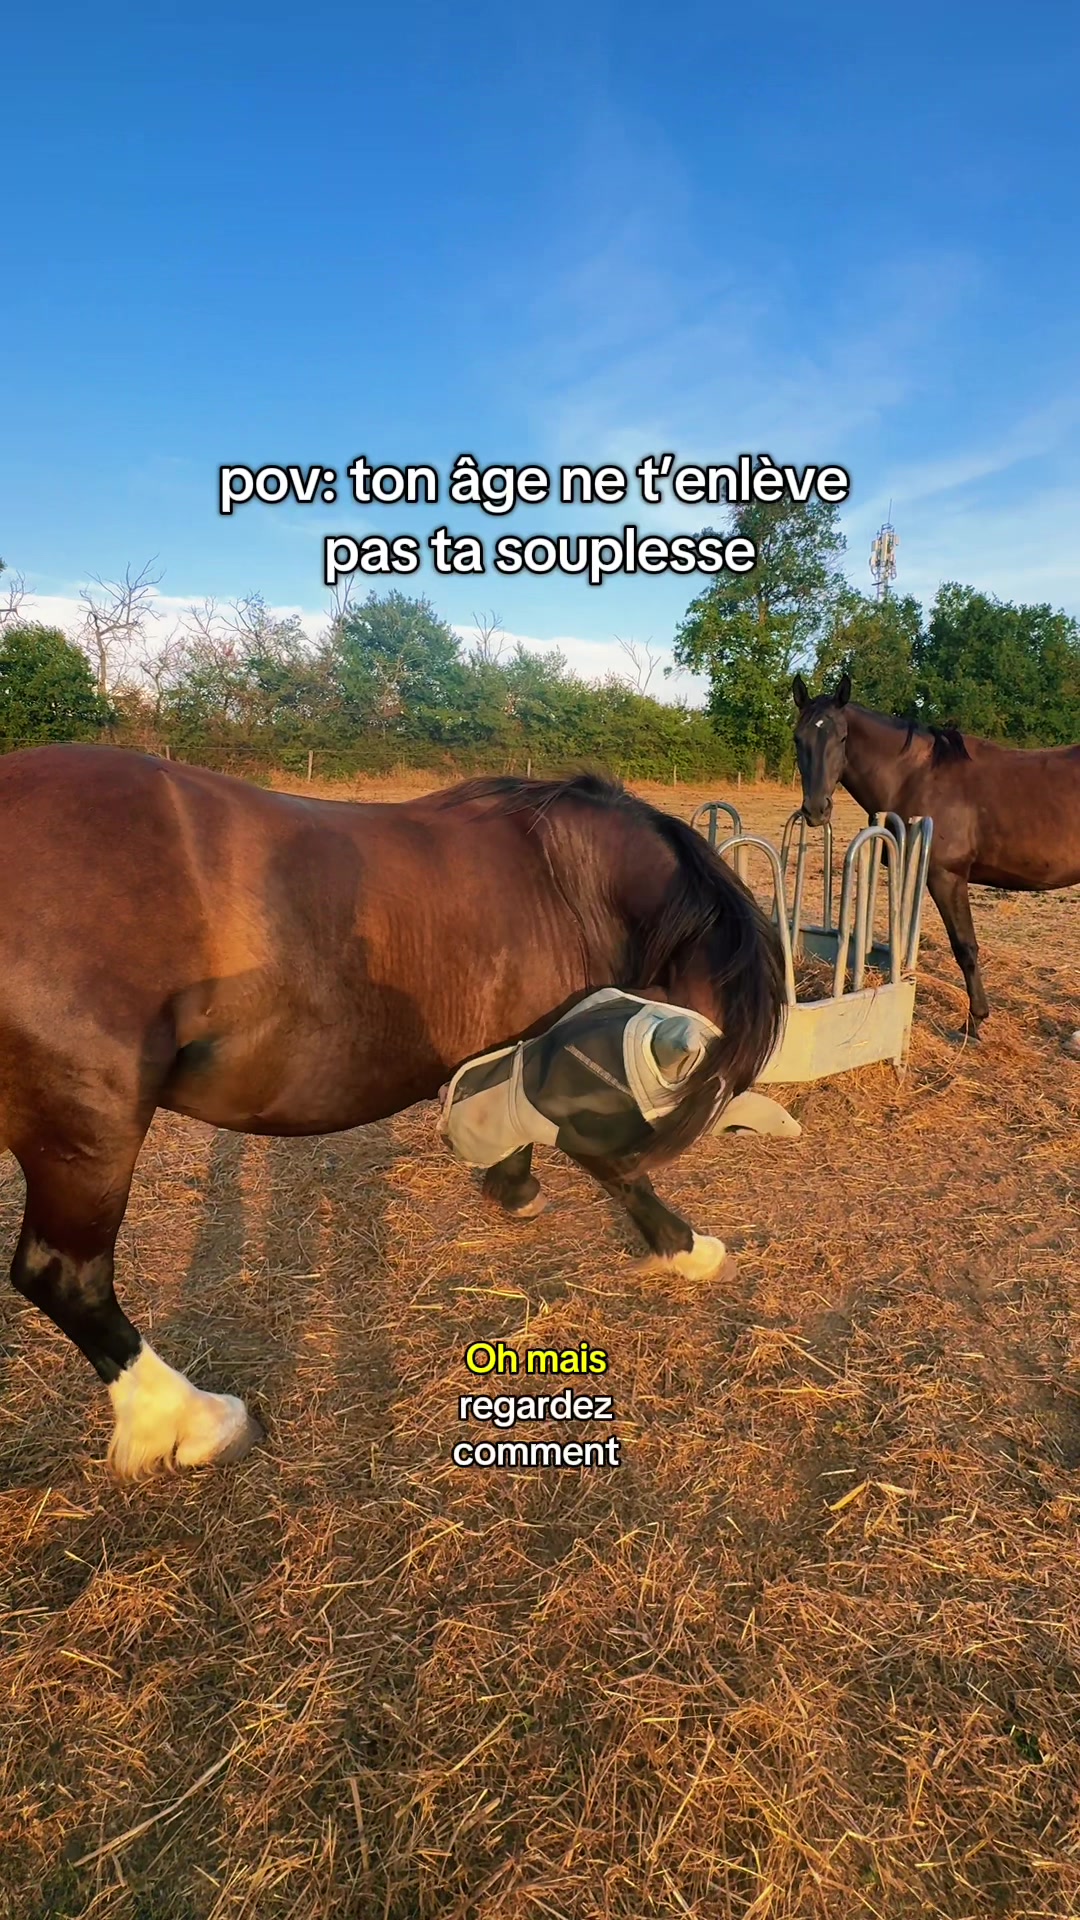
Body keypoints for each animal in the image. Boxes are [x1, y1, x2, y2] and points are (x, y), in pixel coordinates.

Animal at [0, 746, 785, 1479]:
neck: (564, 881)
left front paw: (513, 1187)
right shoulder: (569, 1063)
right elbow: (613, 1165)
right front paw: (688, 1249)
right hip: (91, 1127)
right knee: (65, 1276)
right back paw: (195, 1420)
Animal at [792, 673, 1080, 1030]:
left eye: (842, 738)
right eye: (798, 739)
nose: (816, 810)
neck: (916, 775)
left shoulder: (946, 877)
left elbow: (965, 946)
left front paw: (975, 1021)